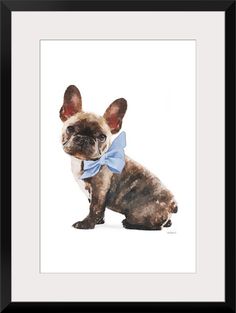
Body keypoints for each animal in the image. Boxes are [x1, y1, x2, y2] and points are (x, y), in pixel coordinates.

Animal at [60, 84, 178, 229]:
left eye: (102, 137)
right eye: (70, 129)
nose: (84, 139)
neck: (84, 162)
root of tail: (173, 204)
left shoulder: (100, 189)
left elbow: (94, 207)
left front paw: (86, 224)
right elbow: (97, 208)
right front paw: (98, 221)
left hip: (140, 213)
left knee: (154, 225)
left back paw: (129, 223)